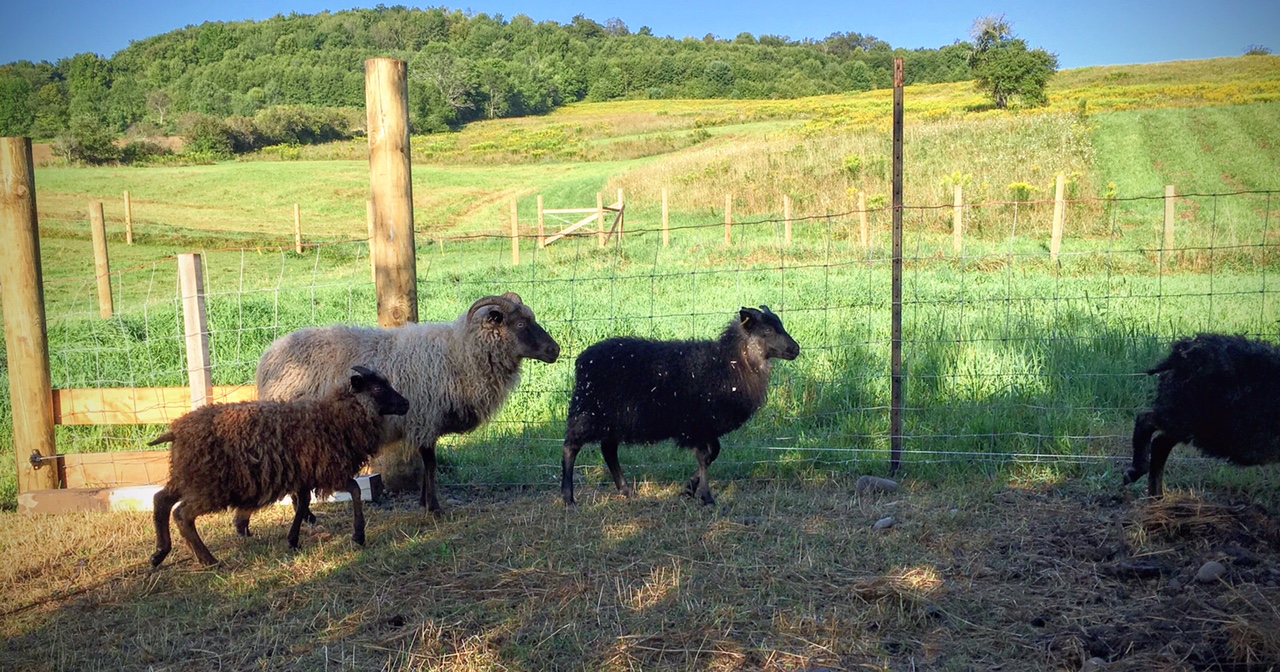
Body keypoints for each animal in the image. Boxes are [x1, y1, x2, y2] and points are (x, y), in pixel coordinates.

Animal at [149, 366, 410, 567]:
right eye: (377, 389)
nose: (406, 404)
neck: (334, 417)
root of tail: (177, 429)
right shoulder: (329, 470)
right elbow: (354, 490)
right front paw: (358, 535)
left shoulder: (305, 475)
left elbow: (302, 504)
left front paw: (292, 540)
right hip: (208, 482)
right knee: (182, 514)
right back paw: (207, 559)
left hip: (187, 476)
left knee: (160, 500)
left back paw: (159, 553)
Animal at [255, 292, 560, 514]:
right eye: (520, 324)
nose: (555, 350)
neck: (459, 354)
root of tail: (268, 357)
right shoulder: (424, 416)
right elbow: (431, 464)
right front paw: (434, 508)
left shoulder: (425, 422)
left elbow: (427, 465)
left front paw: (424, 502)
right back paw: (305, 514)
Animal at [561, 306, 800, 506]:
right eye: (768, 330)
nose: (796, 349)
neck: (728, 363)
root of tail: (582, 360)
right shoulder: (696, 424)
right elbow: (704, 457)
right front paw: (706, 496)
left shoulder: (705, 427)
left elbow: (713, 454)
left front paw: (690, 488)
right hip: (588, 412)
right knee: (571, 448)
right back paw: (568, 498)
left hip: (614, 418)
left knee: (608, 449)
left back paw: (626, 490)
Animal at [1125, 333, 1280, 498]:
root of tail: (1182, 352)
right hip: (1188, 414)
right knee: (1145, 421)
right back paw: (1135, 473)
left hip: (1192, 423)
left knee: (1160, 443)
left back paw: (1156, 496)